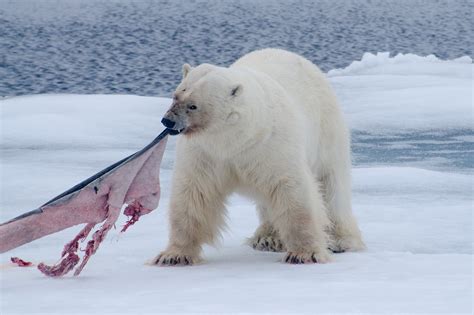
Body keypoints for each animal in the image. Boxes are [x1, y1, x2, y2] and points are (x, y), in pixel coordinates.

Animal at [154, 48, 364, 266]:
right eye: (175, 95)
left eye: (193, 105)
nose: (167, 121)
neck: (234, 139)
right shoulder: (205, 153)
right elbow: (193, 194)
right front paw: (173, 255)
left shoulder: (271, 146)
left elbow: (293, 192)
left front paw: (304, 254)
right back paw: (267, 238)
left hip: (327, 131)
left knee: (332, 186)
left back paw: (341, 240)